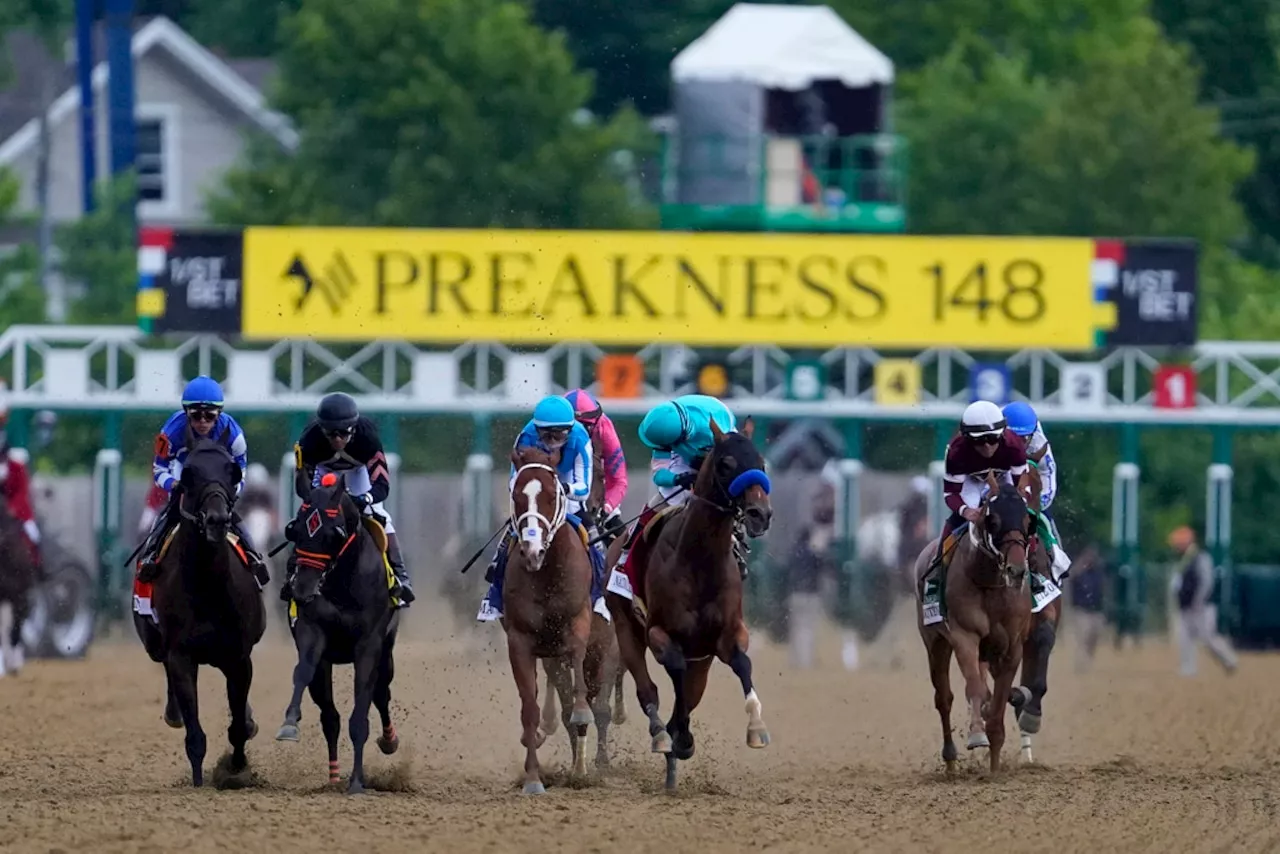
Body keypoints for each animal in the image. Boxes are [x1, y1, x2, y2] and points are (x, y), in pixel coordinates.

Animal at [145, 435, 264, 788]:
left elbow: (238, 726)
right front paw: (199, 782)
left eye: (231, 471)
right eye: (189, 475)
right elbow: (195, 733)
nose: (216, 520)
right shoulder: (181, 656)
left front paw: (236, 768)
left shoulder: (238, 657)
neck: (208, 584)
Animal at [275, 468, 399, 793]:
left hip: (386, 654)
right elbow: (302, 671)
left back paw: (389, 740)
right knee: (329, 716)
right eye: (294, 531)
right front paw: (289, 724)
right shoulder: (312, 630)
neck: (343, 579)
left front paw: (357, 782)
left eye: (335, 535)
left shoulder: (369, 644)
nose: (302, 589)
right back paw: (333, 776)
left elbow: (362, 712)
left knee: (381, 693)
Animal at [501, 448, 596, 793]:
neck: (547, 574)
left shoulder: (579, 621)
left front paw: (581, 714)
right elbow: (529, 709)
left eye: (552, 495)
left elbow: (579, 688)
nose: (532, 551)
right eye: (516, 494)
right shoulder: (519, 640)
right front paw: (532, 779)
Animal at [606, 417, 773, 793]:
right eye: (726, 464)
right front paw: (676, 737)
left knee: (690, 690)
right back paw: (662, 736)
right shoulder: (659, 633)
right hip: (625, 628)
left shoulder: (728, 635)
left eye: (761, 462)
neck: (699, 561)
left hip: (703, 659)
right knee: (648, 689)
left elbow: (742, 664)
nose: (760, 514)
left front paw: (756, 728)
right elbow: (673, 674)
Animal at [916, 468, 1034, 773]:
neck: (989, 583)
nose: (1016, 570)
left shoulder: (1012, 647)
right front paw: (977, 735)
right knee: (944, 697)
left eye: (1028, 520)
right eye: (993, 520)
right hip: (935, 642)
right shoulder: (964, 637)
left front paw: (993, 765)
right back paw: (950, 759)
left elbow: (999, 700)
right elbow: (974, 688)